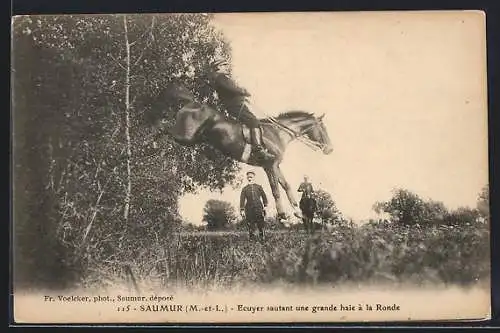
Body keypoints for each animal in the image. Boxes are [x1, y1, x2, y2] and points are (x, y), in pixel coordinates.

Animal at [150, 82, 334, 218]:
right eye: (323, 129)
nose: (330, 149)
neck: (278, 133)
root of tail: (192, 102)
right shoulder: (270, 165)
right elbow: (275, 190)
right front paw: (283, 217)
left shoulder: (273, 166)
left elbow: (286, 186)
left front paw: (296, 212)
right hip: (185, 136)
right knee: (163, 126)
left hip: (193, 139)